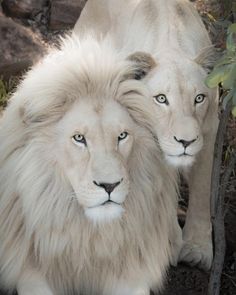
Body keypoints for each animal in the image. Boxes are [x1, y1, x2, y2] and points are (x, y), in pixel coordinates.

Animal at [0, 35, 179, 295]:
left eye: (122, 136)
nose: (109, 186)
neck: (89, 235)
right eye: (79, 138)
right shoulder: (29, 268)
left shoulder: (133, 272)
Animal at [75, 0, 219, 270]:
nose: (186, 141)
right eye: (161, 99)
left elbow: (202, 190)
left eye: (199, 98)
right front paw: (171, 243)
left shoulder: (207, 132)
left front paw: (197, 249)